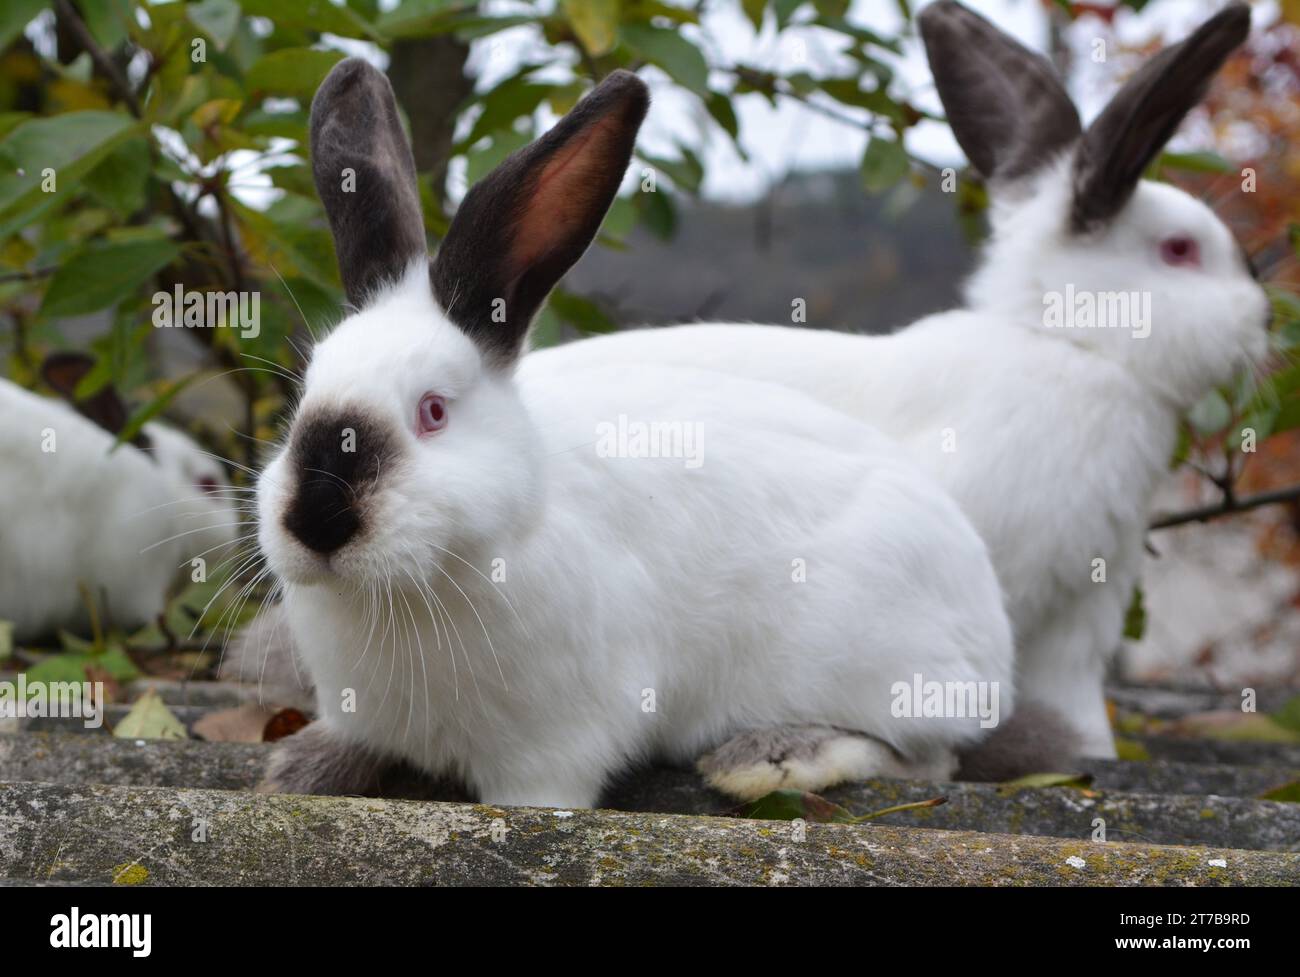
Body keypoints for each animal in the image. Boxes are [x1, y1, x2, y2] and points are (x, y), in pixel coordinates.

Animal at [256, 58, 1015, 809]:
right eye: (304, 393)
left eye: (434, 411)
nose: (318, 519)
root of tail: (992, 635)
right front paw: (300, 767)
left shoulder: (551, 748)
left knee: (928, 757)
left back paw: (773, 756)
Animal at [530, 1, 1270, 761]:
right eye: (1179, 251)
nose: (1264, 315)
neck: (1069, 343)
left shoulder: (1077, 621)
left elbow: (1079, 708)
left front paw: (1086, 752)